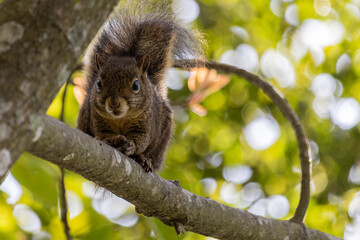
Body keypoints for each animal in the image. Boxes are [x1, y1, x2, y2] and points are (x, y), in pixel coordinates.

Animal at [77, 3, 204, 172]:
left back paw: (144, 159)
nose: (114, 103)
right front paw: (104, 139)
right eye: (98, 84)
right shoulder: (97, 119)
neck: (121, 118)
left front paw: (131, 146)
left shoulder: (146, 123)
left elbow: (141, 139)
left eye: (136, 85)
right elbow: (102, 133)